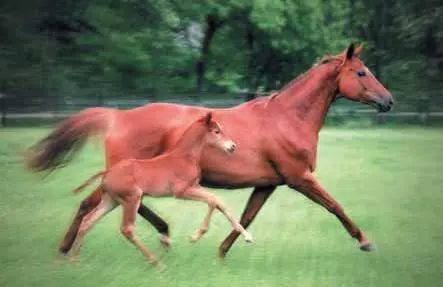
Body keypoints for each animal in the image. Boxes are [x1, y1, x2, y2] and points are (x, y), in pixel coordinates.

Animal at [71, 112, 255, 268]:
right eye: (217, 131)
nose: (232, 146)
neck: (184, 156)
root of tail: (107, 173)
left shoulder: (195, 186)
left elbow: (218, 201)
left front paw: (247, 236)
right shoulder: (182, 192)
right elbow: (213, 200)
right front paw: (195, 236)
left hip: (112, 201)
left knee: (88, 221)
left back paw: (75, 260)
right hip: (132, 199)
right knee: (127, 228)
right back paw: (156, 262)